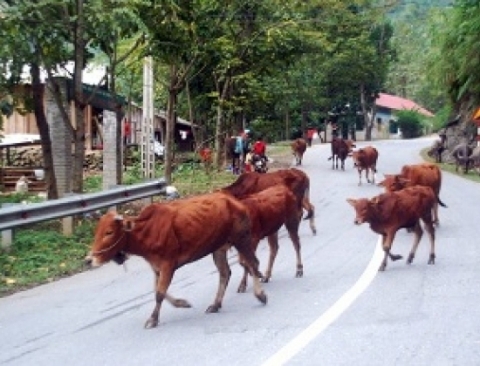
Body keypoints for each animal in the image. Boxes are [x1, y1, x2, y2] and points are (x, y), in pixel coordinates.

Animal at [85, 192, 268, 328]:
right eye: (96, 232)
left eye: (109, 232)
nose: (89, 260)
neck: (147, 231)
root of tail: (234, 201)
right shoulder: (156, 267)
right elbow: (158, 290)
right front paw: (182, 303)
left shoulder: (168, 265)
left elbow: (159, 293)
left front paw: (153, 319)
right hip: (219, 248)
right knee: (225, 273)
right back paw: (216, 304)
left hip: (241, 239)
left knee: (253, 264)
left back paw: (260, 295)